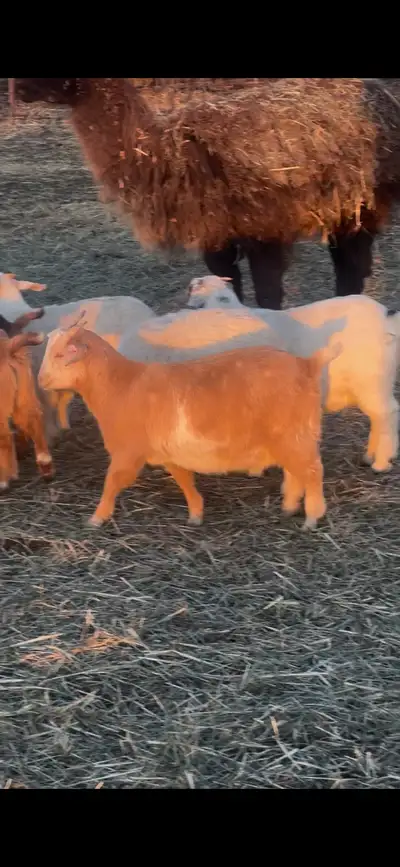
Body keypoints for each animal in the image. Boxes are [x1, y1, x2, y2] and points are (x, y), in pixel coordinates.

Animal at [0, 328, 54, 489]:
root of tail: (7, 348)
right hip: (24, 397)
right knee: (34, 421)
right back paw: (46, 469)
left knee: (5, 437)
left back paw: (3, 482)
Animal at [38, 323, 342, 531]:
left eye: (62, 354)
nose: (40, 380)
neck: (121, 385)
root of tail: (307, 364)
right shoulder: (168, 452)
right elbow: (183, 479)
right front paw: (196, 513)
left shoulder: (128, 453)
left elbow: (112, 483)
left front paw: (97, 517)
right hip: (289, 435)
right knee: (296, 472)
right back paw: (289, 507)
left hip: (294, 434)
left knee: (312, 472)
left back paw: (312, 517)